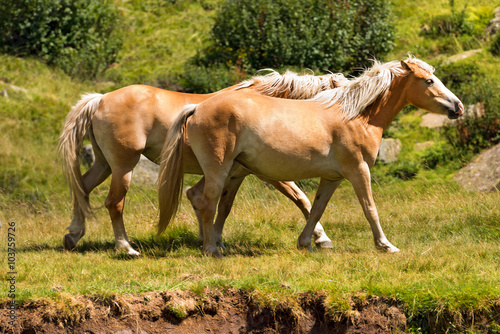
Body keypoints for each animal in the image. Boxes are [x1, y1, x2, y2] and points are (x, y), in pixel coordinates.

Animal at [56, 70, 346, 253]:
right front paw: (321, 238)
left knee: (82, 189)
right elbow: (302, 199)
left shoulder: (235, 174)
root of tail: (100, 99)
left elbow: (215, 204)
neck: (265, 107)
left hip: (104, 164)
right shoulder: (264, 173)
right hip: (123, 166)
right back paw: (126, 247)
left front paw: (212, 241)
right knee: (114, 202)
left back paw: (73, 235)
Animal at [159, 56, 464, 258]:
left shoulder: (332, 178)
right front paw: (385, 245)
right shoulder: (358, 171)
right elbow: (370, 208)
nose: (458, 107)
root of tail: (197, 107)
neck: (356, 116)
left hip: (231, 170)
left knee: (202, 199)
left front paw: (307, 242)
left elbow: (316, 208)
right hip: (220, 170)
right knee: (208, 204)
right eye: (429, 80)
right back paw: (211, 249)